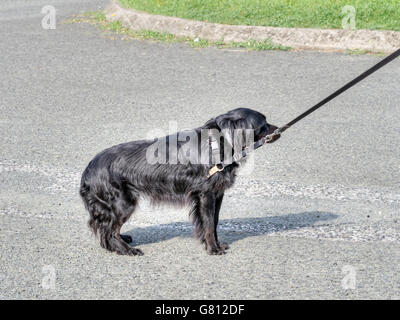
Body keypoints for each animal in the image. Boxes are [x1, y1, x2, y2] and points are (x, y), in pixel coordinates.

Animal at [78, 107, 278, 255]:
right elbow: (208, 223)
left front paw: (215, 244)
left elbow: (214, 222)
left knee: (107, 230)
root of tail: (88, 169)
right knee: (109, 231)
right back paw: (127, 250)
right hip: (123, 203)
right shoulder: (206, 194)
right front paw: (213, 249)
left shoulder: (217, 193)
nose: (277, 130)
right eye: (264, 124)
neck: (217, 143)